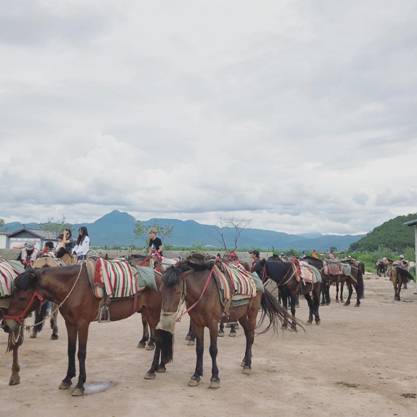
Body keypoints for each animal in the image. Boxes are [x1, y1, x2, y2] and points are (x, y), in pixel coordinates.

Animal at [3, 260, 162, 394]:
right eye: (12, 295)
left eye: (22, 298)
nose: (6, 325)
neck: (72, 287)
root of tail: (159, 276)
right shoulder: (70, 323)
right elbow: (71, 350)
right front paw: (67, 379)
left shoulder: (83, 324)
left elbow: (81, 353)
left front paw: (80, 384)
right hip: (147, 312)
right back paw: (159, 367)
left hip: (153, 314)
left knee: (158, 340)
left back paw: (152, 370)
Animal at [154, 254, 300, 386]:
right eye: (160, 290)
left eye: (178, 291)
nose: (166, 318)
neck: (203, 291)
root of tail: (256, 280)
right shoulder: (197, 323)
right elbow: (199, 349)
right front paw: (196, 375)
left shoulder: (213, 324)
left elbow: (213, 350)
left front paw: (214, 378)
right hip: (241, 316)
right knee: (247, 335)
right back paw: (245, 360)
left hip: (252, 314)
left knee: (251, 337)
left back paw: (248, 365)